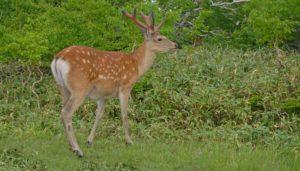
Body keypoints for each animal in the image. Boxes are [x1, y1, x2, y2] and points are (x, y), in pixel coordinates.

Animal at [50, 9, 177, 156]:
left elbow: (99, 115)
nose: (176, 45)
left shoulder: (103, 95)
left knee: (62, 111)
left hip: (63, 88)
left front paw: (90, 141)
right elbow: (124, 114)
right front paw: (129, 141)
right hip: (79, 88)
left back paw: (71, 147)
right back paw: (78, 149)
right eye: (160, 38)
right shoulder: (125, 87)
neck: (136, 66)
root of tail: (58, 58)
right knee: (67, 112)